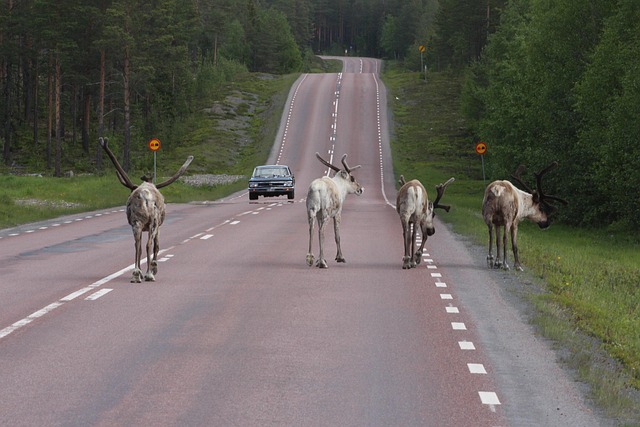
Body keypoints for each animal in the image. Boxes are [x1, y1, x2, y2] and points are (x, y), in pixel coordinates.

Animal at [99, 137, 193, 282]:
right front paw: (154, 268)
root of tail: (144, 197)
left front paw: (142, 272)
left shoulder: (142, 225)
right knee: (149, 244)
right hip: (153, 222)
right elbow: (157, 246)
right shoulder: (158, 226)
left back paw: (136, 274)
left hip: (136, 222)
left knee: (137, 244)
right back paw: (149, 274)